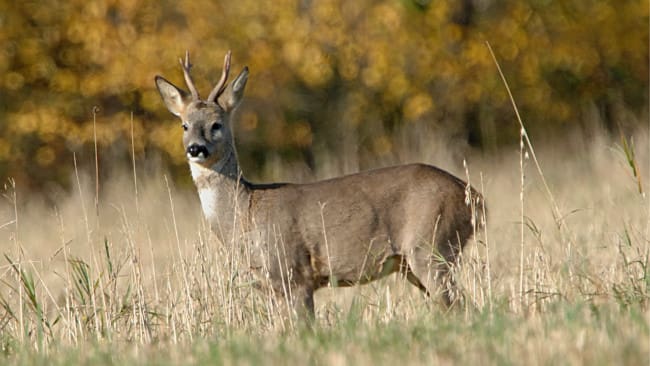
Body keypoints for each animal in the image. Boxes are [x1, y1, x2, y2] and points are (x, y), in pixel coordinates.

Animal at [154, 50, 484, 320]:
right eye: (184, 125)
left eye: (217, 124)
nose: (195, 148)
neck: (247, 210)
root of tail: (474, 197)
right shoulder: (273, 286)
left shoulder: (294, 273)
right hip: (418, 261)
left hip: (431, 247)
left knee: (460, 307)